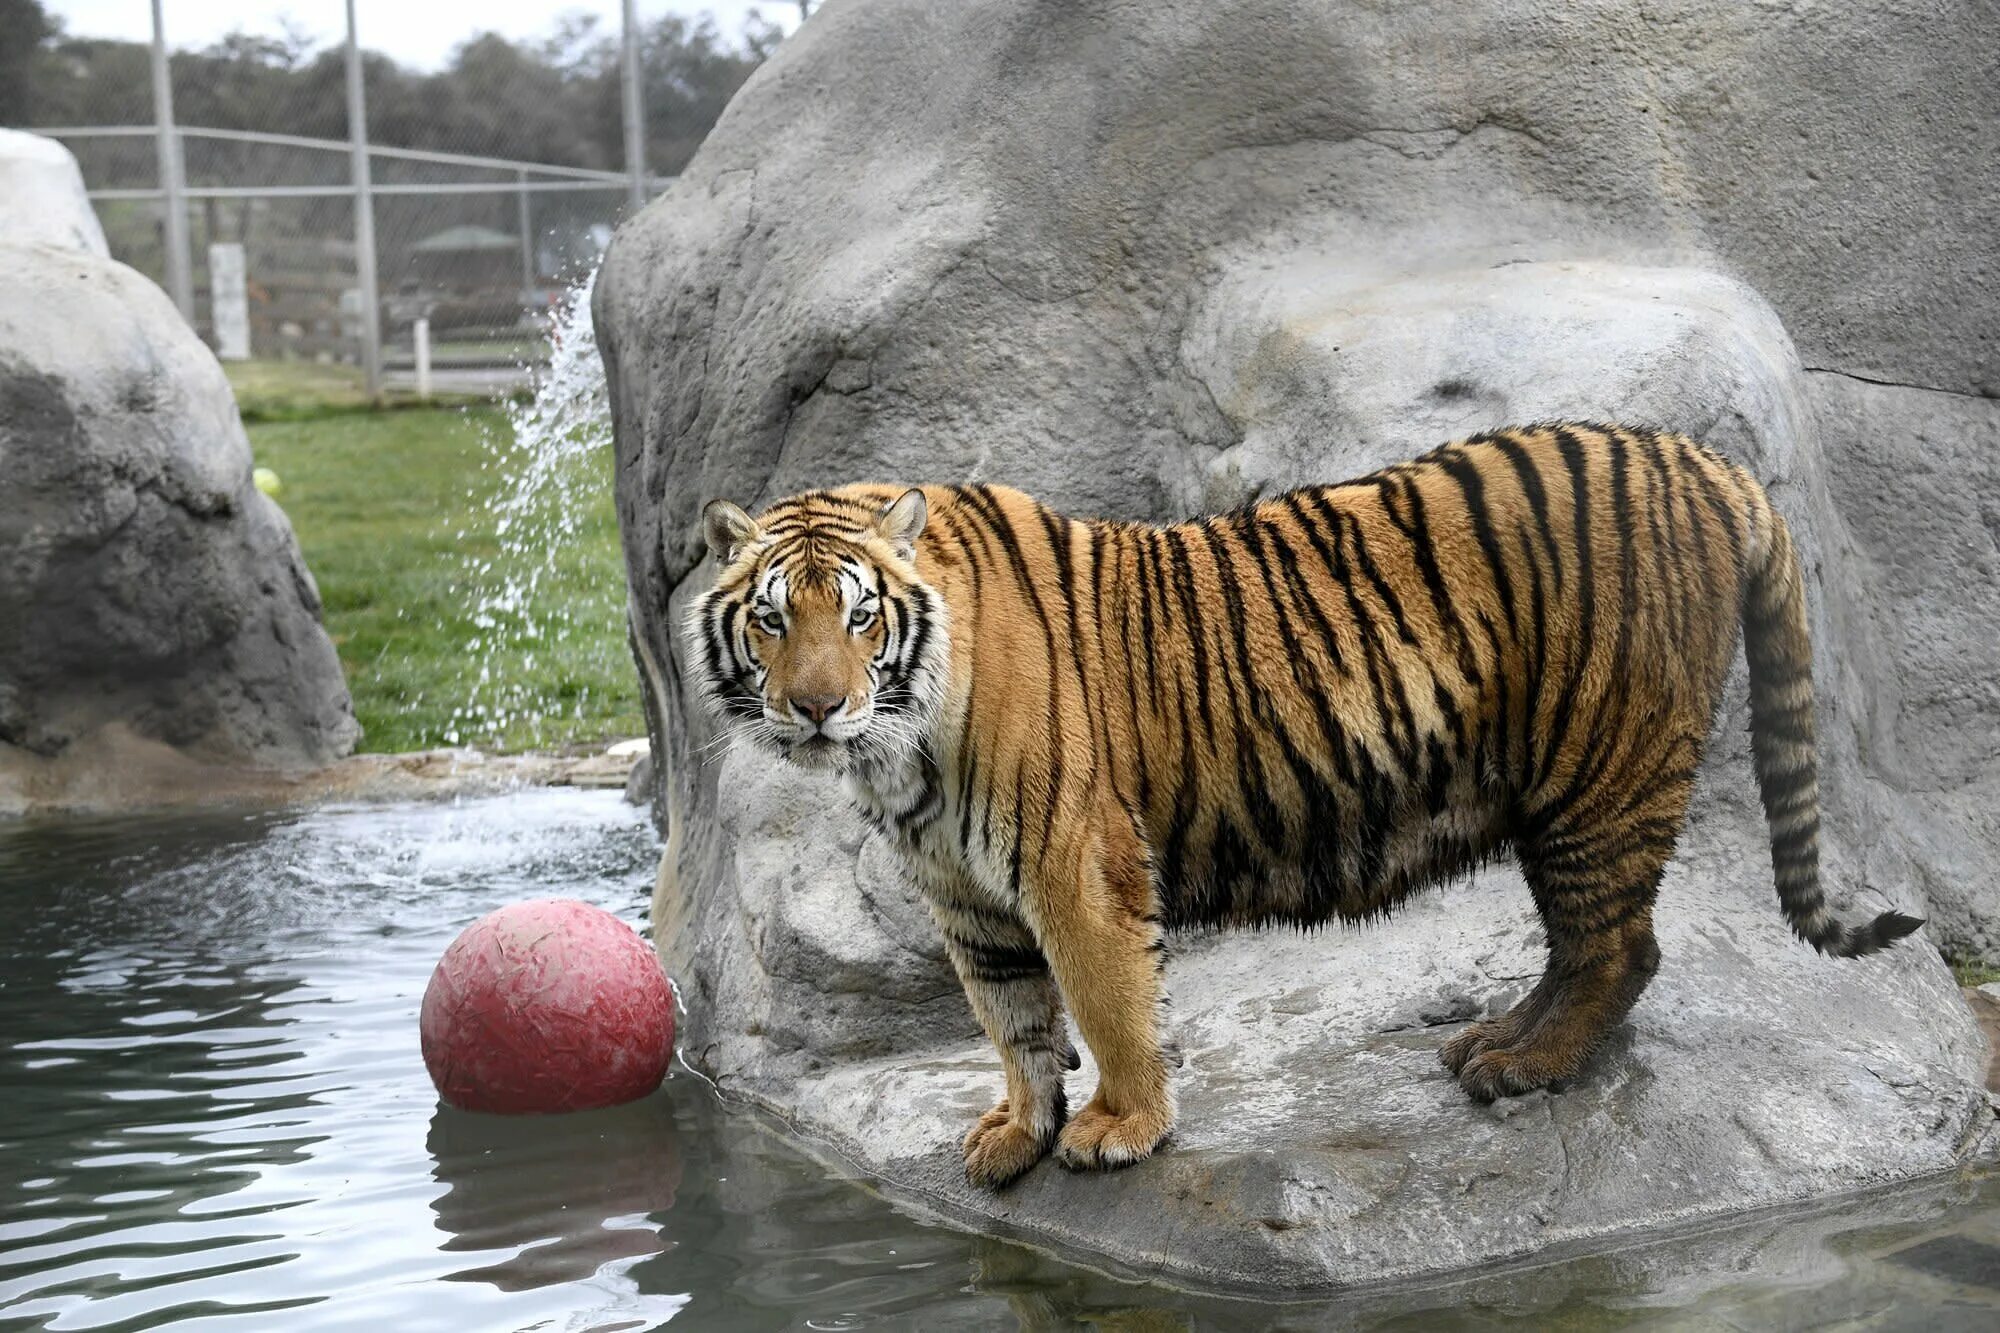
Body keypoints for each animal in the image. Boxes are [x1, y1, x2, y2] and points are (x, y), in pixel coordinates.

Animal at [684, 418, 1920, 1184]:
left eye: (858, 616)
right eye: (770, 619)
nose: (815, 708)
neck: (902, 750)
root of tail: (1703, 460)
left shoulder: (1075, 861)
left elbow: (1105, 1003)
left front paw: (1120, 1127)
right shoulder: (965, 895)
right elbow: (1013, 1019)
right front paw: (1015, 1129)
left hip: (1599, 768)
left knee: (1621, 945)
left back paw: (1522, 1068)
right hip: (1557, 795)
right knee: (1584, 945)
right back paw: (1489, 1041)